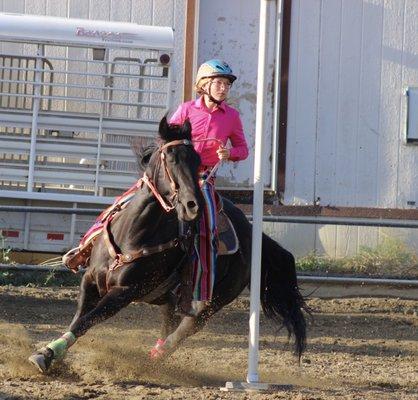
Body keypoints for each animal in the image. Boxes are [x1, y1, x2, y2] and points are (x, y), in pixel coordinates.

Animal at [28, 117, 306, 374]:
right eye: (170, 159)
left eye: (196, 160)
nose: (193, 205)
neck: (133, 234)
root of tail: (252, 234)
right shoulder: (90, 280)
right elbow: (78, 320)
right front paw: (49, 354)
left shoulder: (125, 291)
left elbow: (89, 319)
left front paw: (48, 355)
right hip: (170, 299)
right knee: (169, 325)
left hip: (212, 301)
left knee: (184, 329)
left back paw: (154, 359)